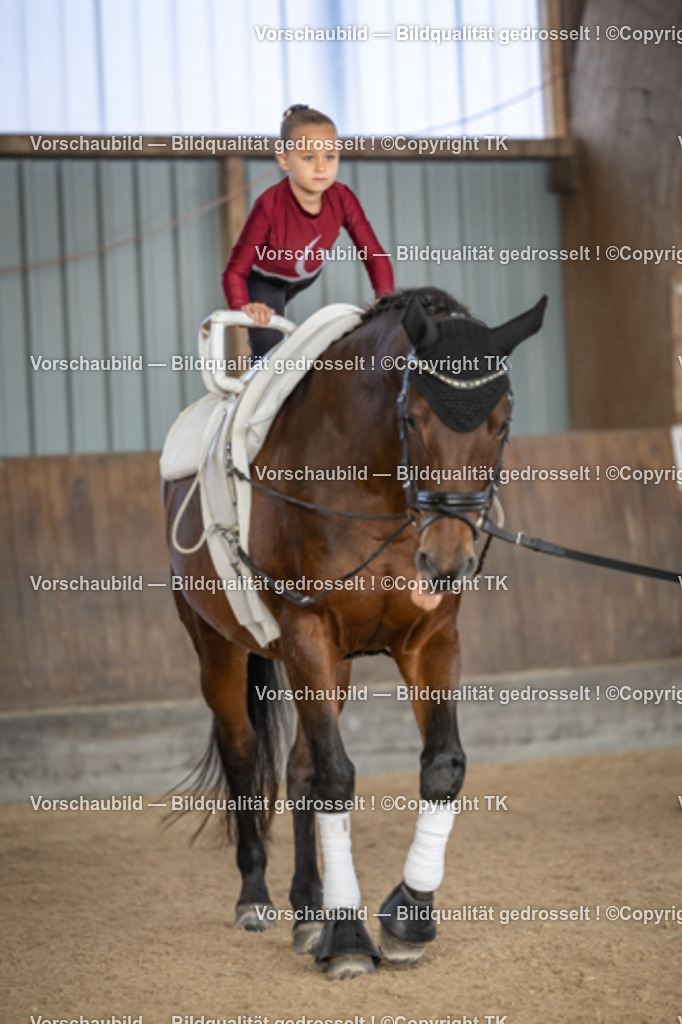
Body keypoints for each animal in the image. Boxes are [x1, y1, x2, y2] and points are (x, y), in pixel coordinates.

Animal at [162, 286, 546, 978]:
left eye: (501, 423)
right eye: (413, 418)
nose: (445, 560)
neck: (375, 487)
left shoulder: (430, 639)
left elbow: (441, 767)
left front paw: (407, 918)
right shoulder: (307, 630)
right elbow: (337, 777)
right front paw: (346, 937)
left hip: (332, 664)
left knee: (298, 768)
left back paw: (307, 908)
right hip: (220, 648)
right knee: (243, 753)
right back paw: (256, 899)